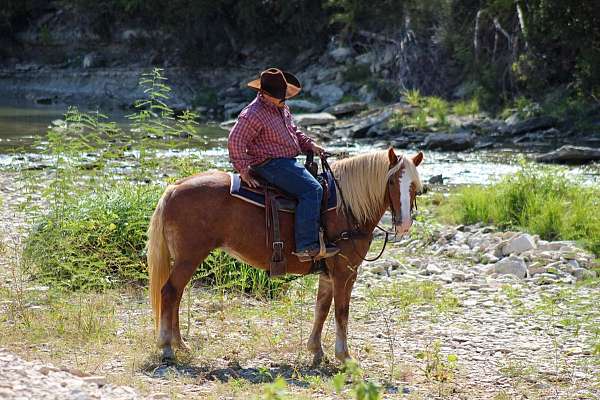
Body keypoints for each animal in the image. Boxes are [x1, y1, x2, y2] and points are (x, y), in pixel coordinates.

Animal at [148, 148, 424, 364]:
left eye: (414, 187)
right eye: (391, 182)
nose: (404, 224)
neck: (345, 207)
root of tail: (174, 187)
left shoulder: (328, 273)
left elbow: (322, 308)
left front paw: (316, 351)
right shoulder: (344, 272)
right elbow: (341, 311)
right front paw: (344, 356)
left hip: (185, 259)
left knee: (176, 294)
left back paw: (180, 344)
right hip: (189, 257)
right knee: (170, 292)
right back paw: (167, 347)